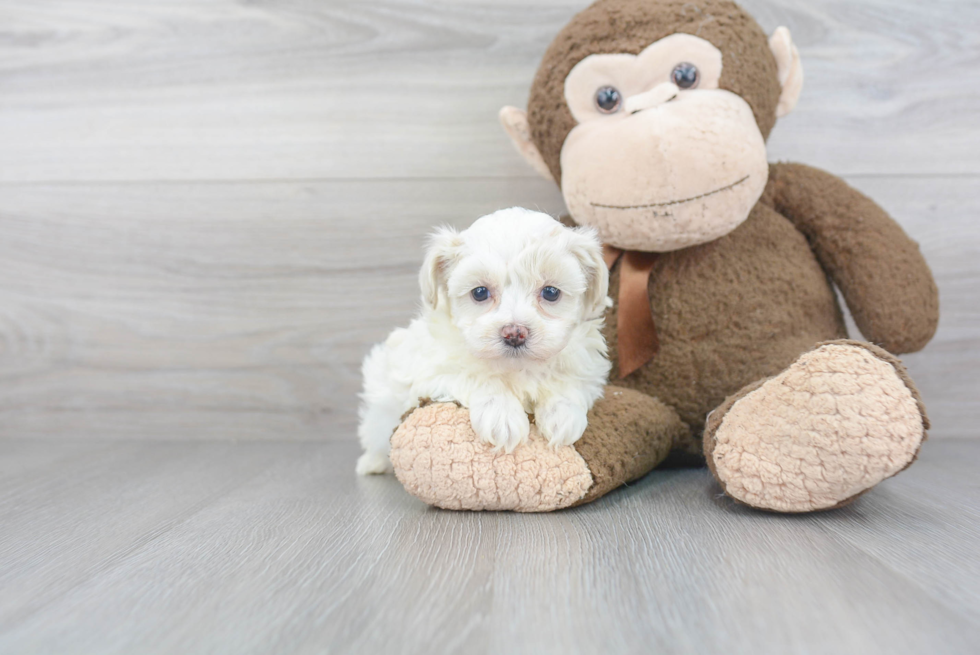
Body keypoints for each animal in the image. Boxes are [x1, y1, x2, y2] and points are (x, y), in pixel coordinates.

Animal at [356, 208, 608, 474]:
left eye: (551, 292)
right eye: (480, 293)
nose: (514, 333)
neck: (517, 368)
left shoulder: (588, 367)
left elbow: (568, 383)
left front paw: (563, 415)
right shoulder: (431, 368)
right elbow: (476, 376)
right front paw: (501, 416)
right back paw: (372, 463)